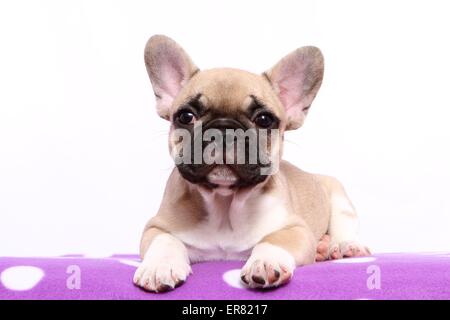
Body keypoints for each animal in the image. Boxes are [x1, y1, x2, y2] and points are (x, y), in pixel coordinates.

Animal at [134, 35, 370, 292]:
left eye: (264, 119)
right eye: (186, 116)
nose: (224, 130)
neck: (224, 204)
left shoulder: (296, 229)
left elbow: (274, 239)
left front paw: (265, 262)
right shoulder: (156, 226)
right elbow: (165, 240)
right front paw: (159, 266)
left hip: (338, 195)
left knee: (344, 226)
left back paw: (343, 246)